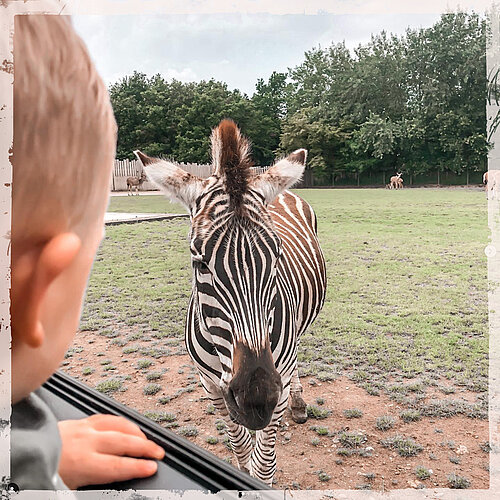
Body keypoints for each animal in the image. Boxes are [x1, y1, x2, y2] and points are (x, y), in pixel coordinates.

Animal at [135, 119, 326, 482]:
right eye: (199, 262)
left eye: (277, 257)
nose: (256, 398)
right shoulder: (212, 388)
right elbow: (240, 453)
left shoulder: (275, 389)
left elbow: (262, 468)